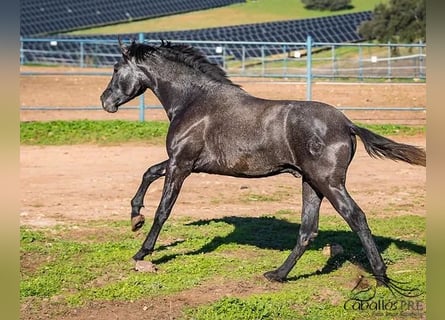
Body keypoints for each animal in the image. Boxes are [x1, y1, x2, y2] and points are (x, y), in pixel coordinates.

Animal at [99, 39, 424, 284]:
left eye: (115, 69)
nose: (105, 102)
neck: (193, 101)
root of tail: (347, 124)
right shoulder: (184, 163)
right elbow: (148, 172)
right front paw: (135, 218)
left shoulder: (182, 164)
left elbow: (163, 210)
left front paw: (142, 251)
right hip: (311, 183)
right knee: (308, 230)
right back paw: (278, 274)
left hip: (328, 182)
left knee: (356, 217)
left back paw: (381, 276)